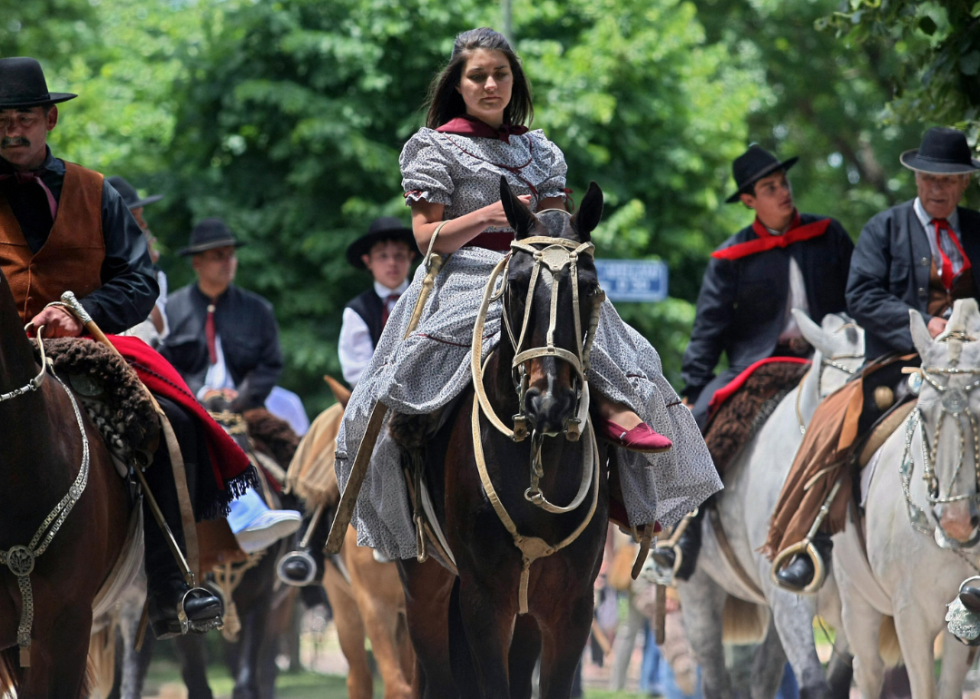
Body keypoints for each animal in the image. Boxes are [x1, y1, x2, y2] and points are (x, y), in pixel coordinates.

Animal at [394, 180, 608, 699]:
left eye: (588, 287)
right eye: (514, 284)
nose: (548, 401)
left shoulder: (571, 608)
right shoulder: (484, 602)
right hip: (425, 590)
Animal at [672, 314, 864, 699]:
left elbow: (835, 683)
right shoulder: (788, 601)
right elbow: (814, 683)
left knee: (762, 675)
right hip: (699, 590)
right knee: (716, 678)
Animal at [832, 300, 980, 699]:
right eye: (924, 414)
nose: (956, 522)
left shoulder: (964, 617)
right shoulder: (912, 614)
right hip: (856, 600)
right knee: (867, 671)